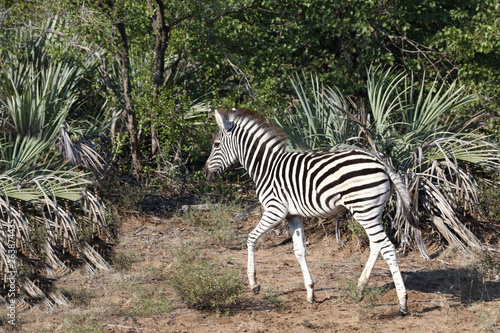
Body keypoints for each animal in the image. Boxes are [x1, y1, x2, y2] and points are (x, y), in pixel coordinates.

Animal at [203, 107, 422, 314]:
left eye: (216, 145)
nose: (205, 173)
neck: (266, 167)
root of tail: (381, 162)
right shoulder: (293, 215)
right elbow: (299, 250)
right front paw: (310, 292)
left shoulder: (275, 210)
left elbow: (251, 239)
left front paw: (254, 284)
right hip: (372, 211)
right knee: (377, 246)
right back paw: (360, 290)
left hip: (364, 209)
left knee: (387, 247)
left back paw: (402, 303)